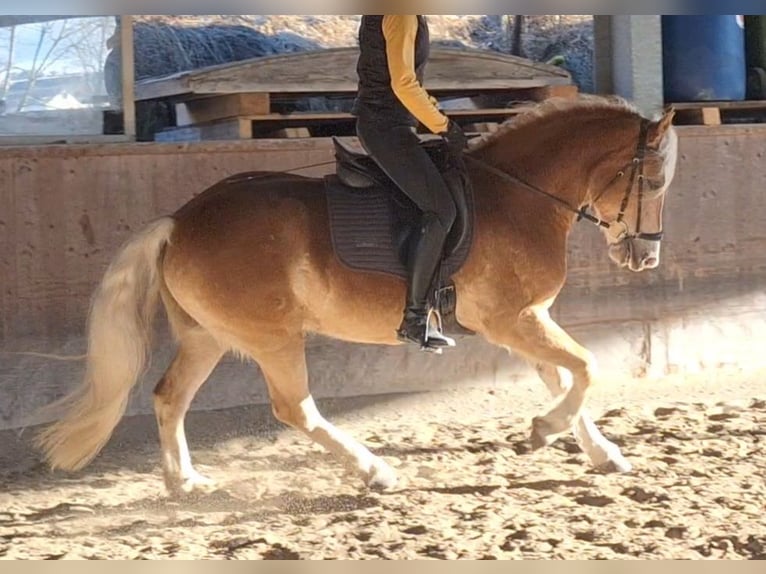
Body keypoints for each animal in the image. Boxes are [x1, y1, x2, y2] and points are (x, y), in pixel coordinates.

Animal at [36, 96, 678, 496]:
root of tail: (179, 221)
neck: (516, 196)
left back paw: (184, 482)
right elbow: (586, 367)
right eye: (651, 180)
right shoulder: (514, 318)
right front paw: (544, 431)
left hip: (209, 337)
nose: (645, 258)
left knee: (170, 398)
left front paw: (599, 453)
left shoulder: (524, 320)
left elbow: (564, 377)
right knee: (294, 408)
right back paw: (375, 473)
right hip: (271, 337)